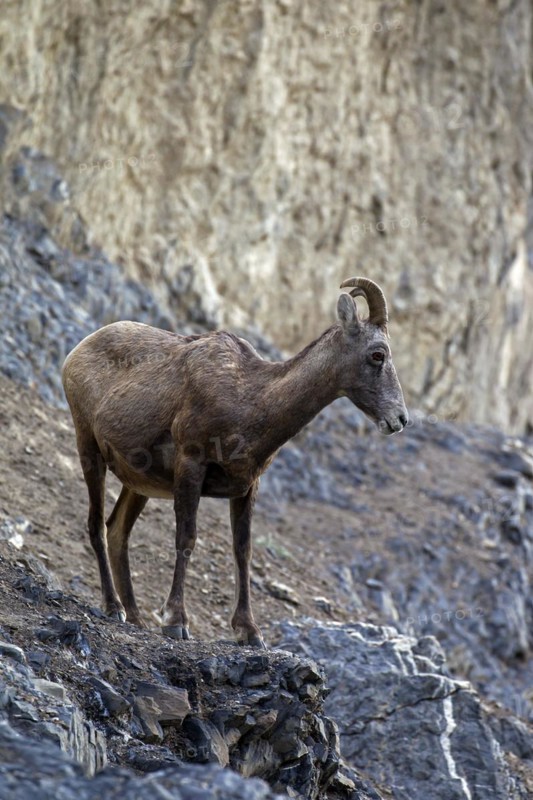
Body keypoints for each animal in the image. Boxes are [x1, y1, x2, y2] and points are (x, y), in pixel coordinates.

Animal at [62, 276, 408, 648]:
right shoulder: (191, 467)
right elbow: (186, 539)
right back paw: (113, 608)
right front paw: (176, 622)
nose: (400, 419)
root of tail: (77, 352)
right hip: (89, 449)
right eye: (377, 354)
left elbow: (243, 551)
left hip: (138, 484)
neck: (248, 399)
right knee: (96, 525)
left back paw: (136, 617)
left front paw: (249, 632)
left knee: (117, 532)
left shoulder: (247, 487)